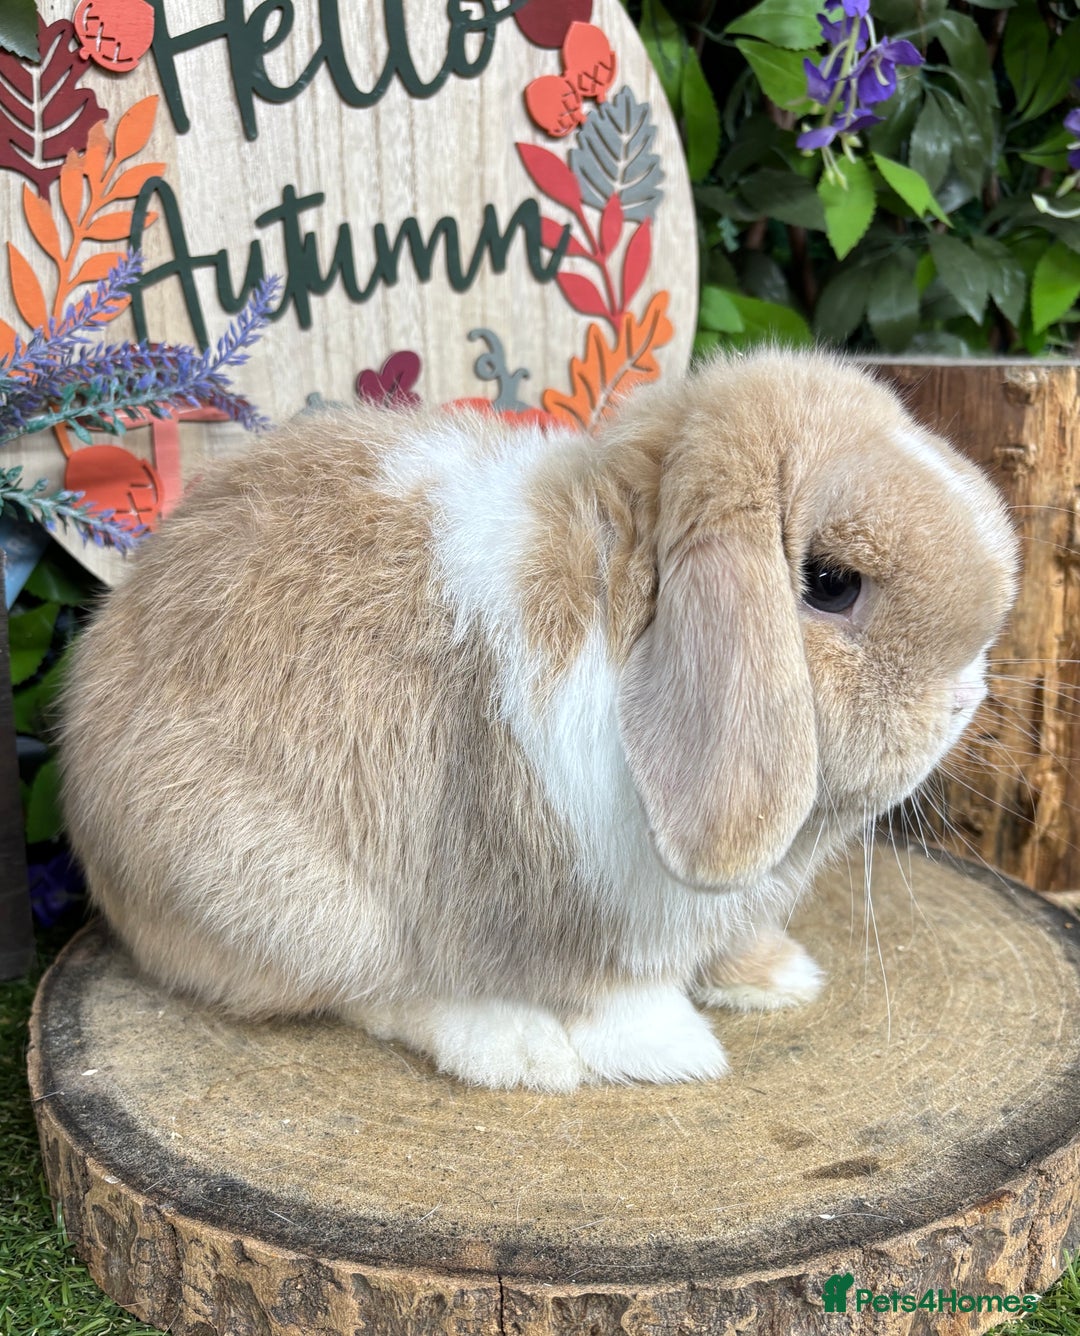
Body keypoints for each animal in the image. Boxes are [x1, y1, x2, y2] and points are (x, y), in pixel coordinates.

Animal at [59, 348, 1019, 1091]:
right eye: (830, 583)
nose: (965, 698)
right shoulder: (579, 899)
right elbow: (613, 993)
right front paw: (676, 1051)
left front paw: (775, 975)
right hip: (297, 902)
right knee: (369, 992)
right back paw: (517, 1050)